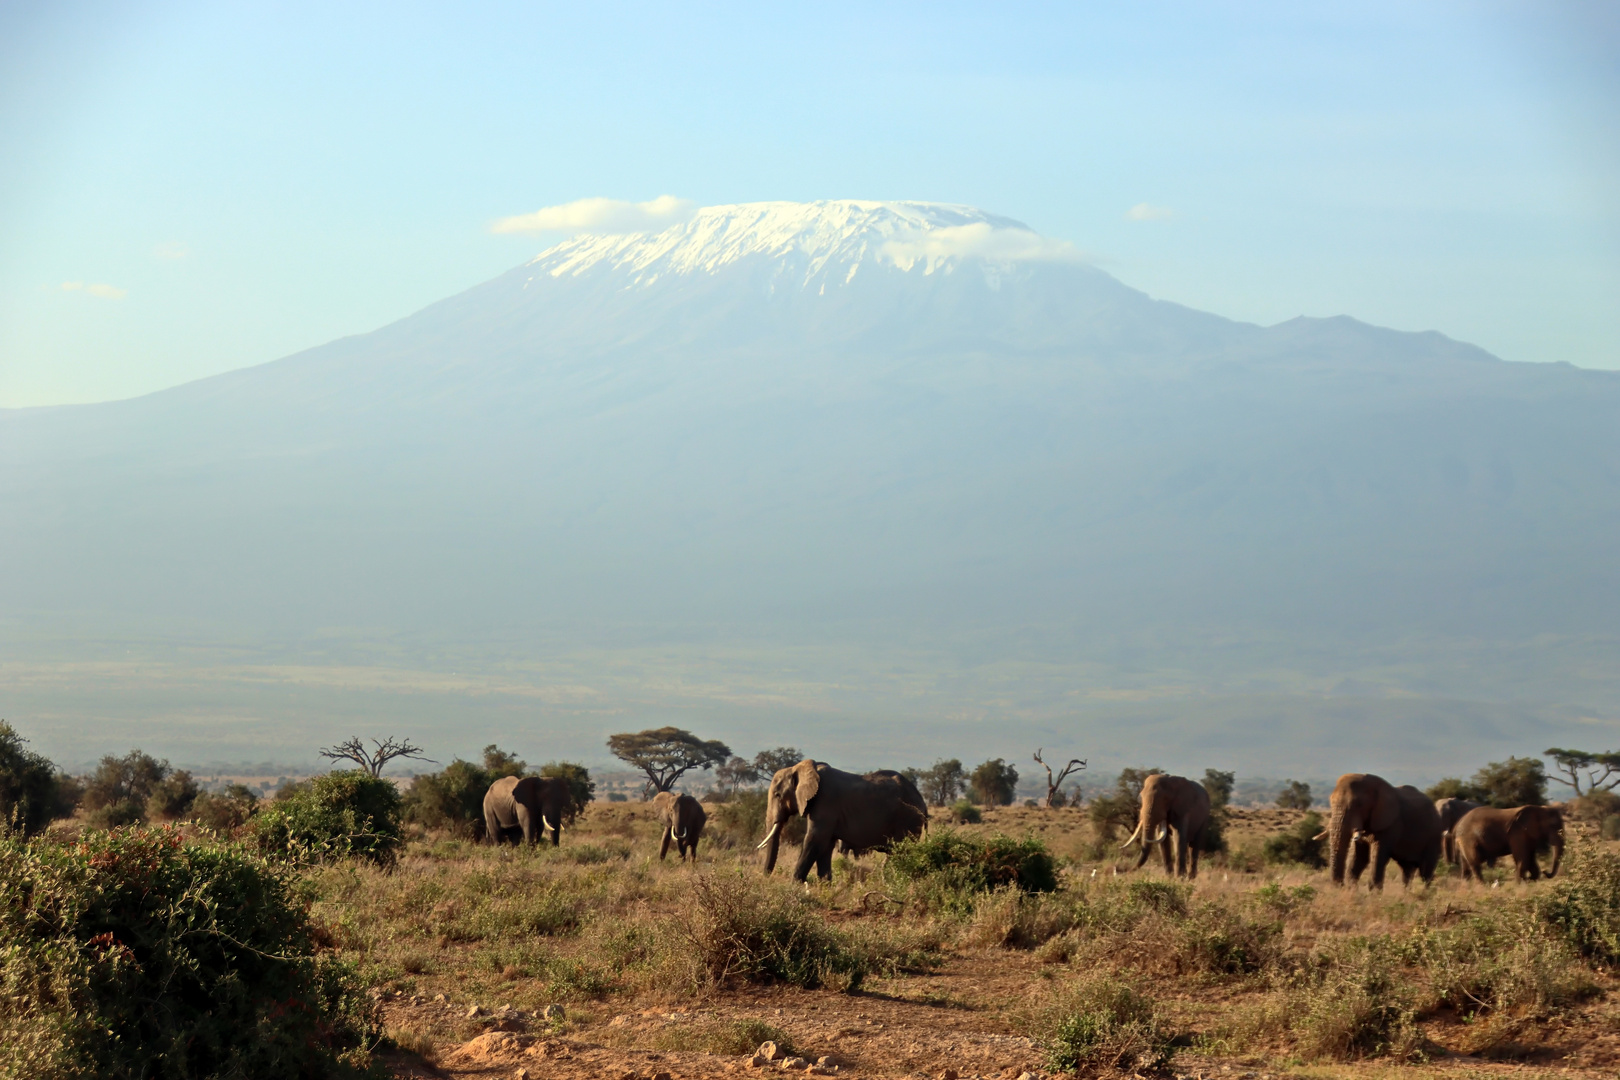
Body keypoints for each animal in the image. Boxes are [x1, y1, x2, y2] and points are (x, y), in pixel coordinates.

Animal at [764, 757, 933, 880]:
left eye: (777, 795)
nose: (766, 877)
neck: (800, 768)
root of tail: (923, 804)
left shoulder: (826, 802)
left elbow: (814, 840)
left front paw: (794, 886)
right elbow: (825, 846)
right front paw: (825, 886)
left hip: (908, 820)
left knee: (899, 853)